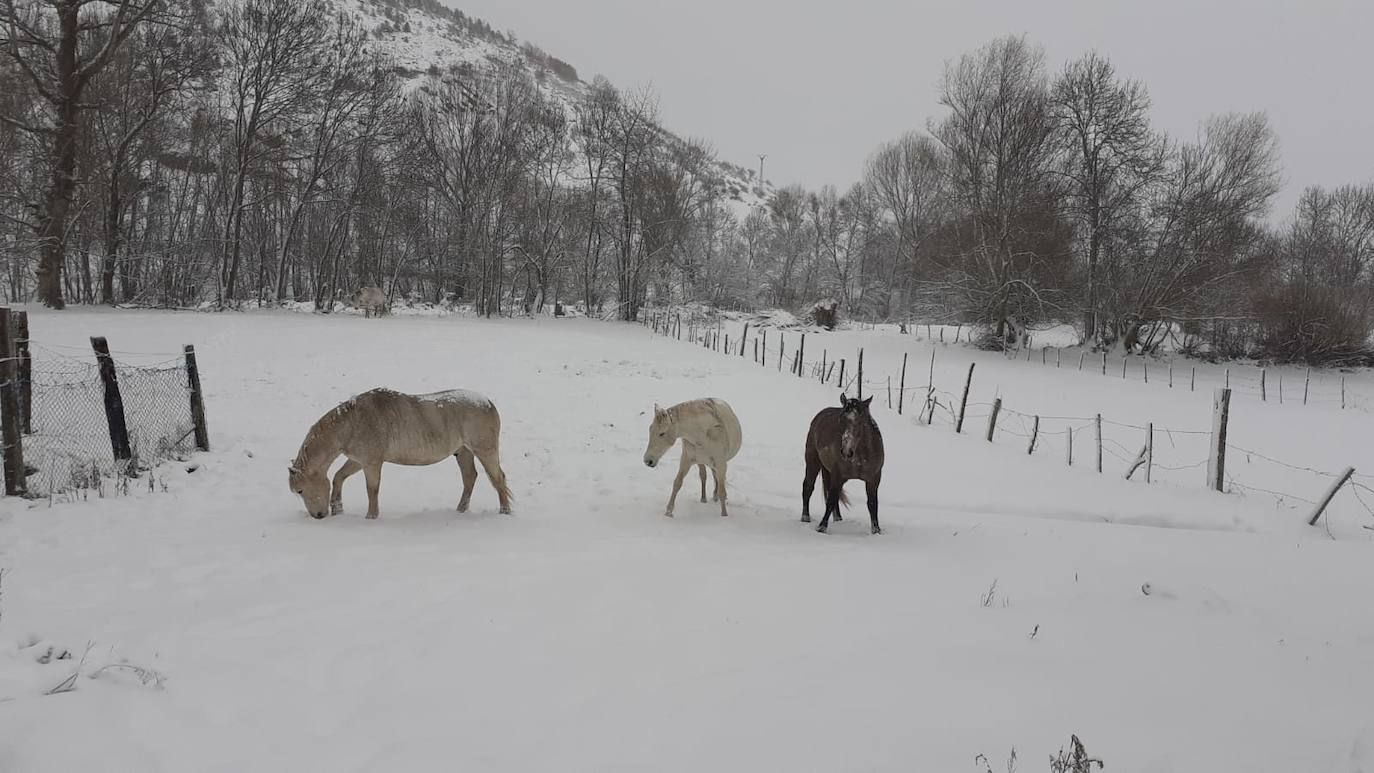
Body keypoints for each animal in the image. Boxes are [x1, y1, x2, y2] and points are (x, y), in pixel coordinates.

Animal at [287, 387, 513, 518]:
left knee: (498, 478)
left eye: (301, 490)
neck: (353, 422)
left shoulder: (371, 463)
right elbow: (338, 477)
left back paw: (504, 511)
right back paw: (460, 511)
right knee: (469, 478)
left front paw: (371, 517)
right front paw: (338, 508)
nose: (318, 515)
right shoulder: (358, 461)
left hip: (484, 450)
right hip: (464, 452)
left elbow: (372, 489)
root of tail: (488, 403)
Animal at [802, 395, 884, 535]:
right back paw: (805, 517)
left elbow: (872, 504)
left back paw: (838, 519)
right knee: (808, 487)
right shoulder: (838, 476)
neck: (860, 458)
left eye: (861, 420)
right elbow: (831, 499)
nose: (846, 451)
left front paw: (876, 530)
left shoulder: (874, 480)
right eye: (840, 419)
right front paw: (821, 527)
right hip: (813, 462)